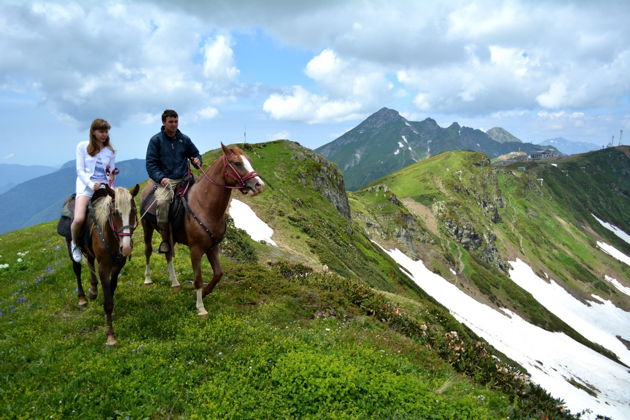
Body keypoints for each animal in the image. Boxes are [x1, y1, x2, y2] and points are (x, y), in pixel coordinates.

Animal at [58, 185, 141, 346]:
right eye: (115, 213)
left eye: (133, 211)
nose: (126, 248)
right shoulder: (103, 268)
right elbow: (107, 302)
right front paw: (110, 337)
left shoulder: (118, 266)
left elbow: (112, 288)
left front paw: (111, 313)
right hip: (70, 244)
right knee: (77, 270)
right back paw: (82, 298)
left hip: (89, 252)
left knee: (90, 262)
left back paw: (93, 290)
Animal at [141, 144, 264, 316]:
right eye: (237, 163)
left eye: (249, 161)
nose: (259, 185)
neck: (205, 207)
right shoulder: (196, 249)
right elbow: (198, 279)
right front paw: (200, 308)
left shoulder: (213, 247)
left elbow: (218, 274)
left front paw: (204, 293)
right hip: (147, 226)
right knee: (148, 250)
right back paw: (147, 279)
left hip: (169, 236)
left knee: (168, 254)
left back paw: (174, 283)